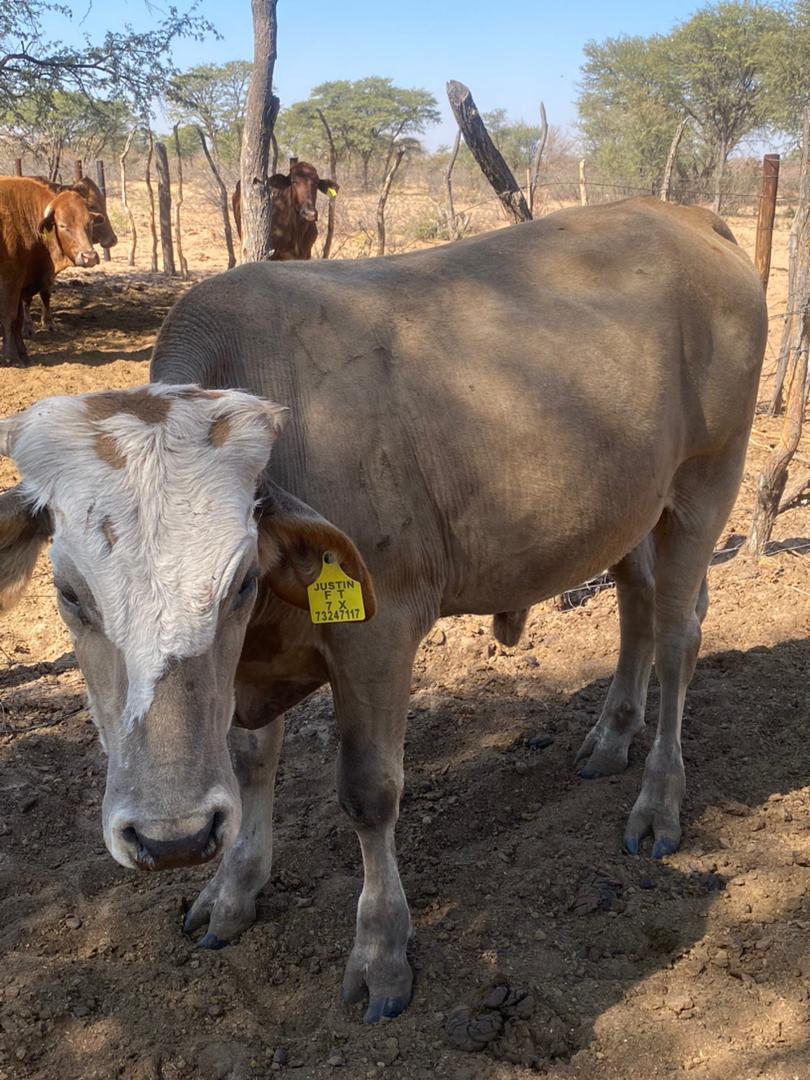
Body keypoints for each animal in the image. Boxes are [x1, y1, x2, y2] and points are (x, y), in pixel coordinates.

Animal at [0, 174, 99, 365]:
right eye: (63, 225)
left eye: (89, 223)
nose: (89, 257)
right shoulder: (10, 281)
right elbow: (9, 317)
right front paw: (11, 357)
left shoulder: (22, 283)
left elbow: (18, 320)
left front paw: (23, 353)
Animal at [22, 174, 118, 334]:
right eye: (93, 206)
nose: (113, 240)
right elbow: (26, 297)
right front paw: (28, 325)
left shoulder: (49, 272)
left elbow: (45, 293)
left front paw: (48, 322)